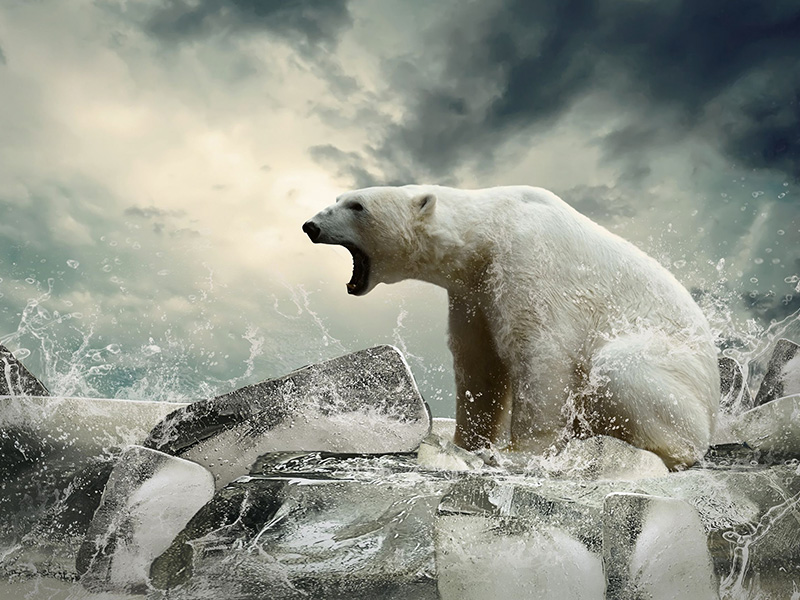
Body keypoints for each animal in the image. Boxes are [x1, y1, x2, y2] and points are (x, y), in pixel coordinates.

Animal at [304, 185, 720, 466]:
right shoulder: (473, 293)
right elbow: (479, 364)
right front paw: (465, 444)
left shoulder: (528, 260)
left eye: (357, 205)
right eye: (339, 198)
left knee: (621, 368)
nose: (310, 225)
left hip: (673, 370)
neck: (488, 230)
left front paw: (519, 453)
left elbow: (540, 351)